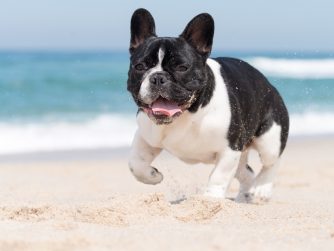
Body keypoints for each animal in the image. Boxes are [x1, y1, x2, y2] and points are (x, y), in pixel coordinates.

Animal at [126, 8, 288, 203]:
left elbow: (219, 176)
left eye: (182, 67)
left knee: (272, 162)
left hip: (269, 138)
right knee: (246, 172)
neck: (187, 114)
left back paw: (262, 189)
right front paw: (152, 175)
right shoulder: (146, 136)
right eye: (140, 66)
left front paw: (210, 200)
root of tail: (270, 86)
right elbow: (135, 162)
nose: (158, 77)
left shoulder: (229, 149)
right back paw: (244, 197)